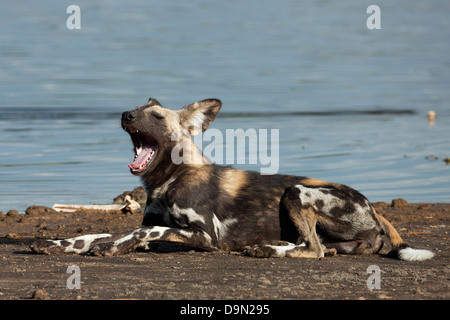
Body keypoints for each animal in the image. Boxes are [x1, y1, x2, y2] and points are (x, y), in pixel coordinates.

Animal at [29, 97, 434, 260]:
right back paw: (270, 246)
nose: (126, 114)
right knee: (317, 247)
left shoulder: (206, 236)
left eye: (155, 117)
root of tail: (374, 208)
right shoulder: (151, 223)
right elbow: (96, 233)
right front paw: (58, 243)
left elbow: (141, 233)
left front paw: (112, 248)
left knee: (315, 250)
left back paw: (267, 249)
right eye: (136, 110)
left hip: (297, 191)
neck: (167, 180)